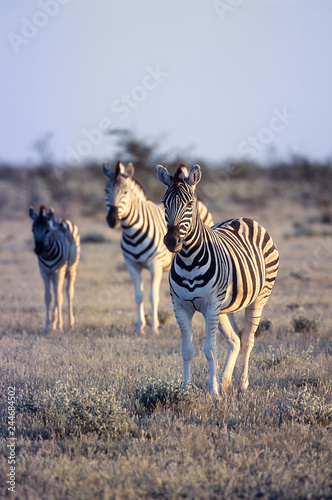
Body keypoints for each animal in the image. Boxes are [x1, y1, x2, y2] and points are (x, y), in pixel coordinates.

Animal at [28, 203, 80, 332]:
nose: (38, 250)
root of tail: (61, 219)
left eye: (47, 230)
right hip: (53, 274)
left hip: (71, 268)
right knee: (57, 292)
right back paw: (53, 322)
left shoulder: (58, 271)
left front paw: (60, 326)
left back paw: (70, 323)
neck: (48, 254)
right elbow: (48, 297)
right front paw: (48, 325)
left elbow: (59, 298)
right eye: (33, 230)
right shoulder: (44, 272)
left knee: (68, 293)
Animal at [102, 160, 214, 332]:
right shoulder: (131, 265)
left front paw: (154, 327)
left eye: (125, 192)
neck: (132, 230)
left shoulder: (155, 264)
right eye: (106, 190)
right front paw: (139, 326)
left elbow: (153, 296)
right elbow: (139, 295)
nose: (112, 220)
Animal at [156, 162, 280, 396]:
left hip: (259, 298)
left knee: (247, 340)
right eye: (164, 203)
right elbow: (187, 350)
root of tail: (245, 219)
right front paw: (186, 390)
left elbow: (210, 350)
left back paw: (242, 384)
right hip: (224, 308)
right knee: (234, 340)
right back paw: (225, 381)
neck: (189, 260)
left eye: (190, 204)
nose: (172, 241)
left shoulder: (211, 305)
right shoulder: (180, 306)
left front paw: (213, 392)